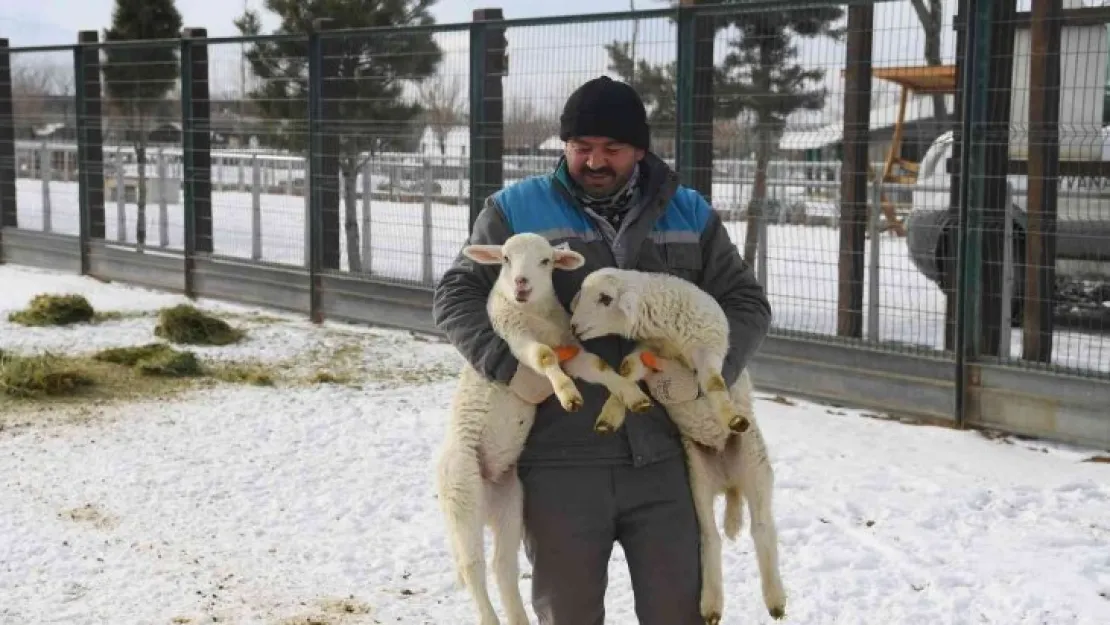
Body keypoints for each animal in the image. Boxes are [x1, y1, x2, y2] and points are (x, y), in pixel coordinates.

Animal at [432, 235, 652, 625]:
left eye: (546, 261)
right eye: (505, 259)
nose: (521, 283)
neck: (534, 315)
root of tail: (486, 485)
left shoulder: (572, 350)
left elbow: (598, 366)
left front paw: (631, 395)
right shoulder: (516, 339)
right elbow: (545, 359)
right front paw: (568, 395)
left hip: (509, 503)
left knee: (503, 566)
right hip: (461, 494)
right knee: (473, 567)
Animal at [572, 265, 790, 625]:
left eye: (605, 298)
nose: (574, 327)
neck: (667, 337)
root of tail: (730, 481)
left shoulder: (709, 348)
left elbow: (713, 383)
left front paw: (730, 416)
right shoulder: (646, 354)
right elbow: (626, 372)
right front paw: (613, 414)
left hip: (755, 467)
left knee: (762, 529)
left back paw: (774, 599)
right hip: (698, 479)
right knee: (710, 537)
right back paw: (712, 604)